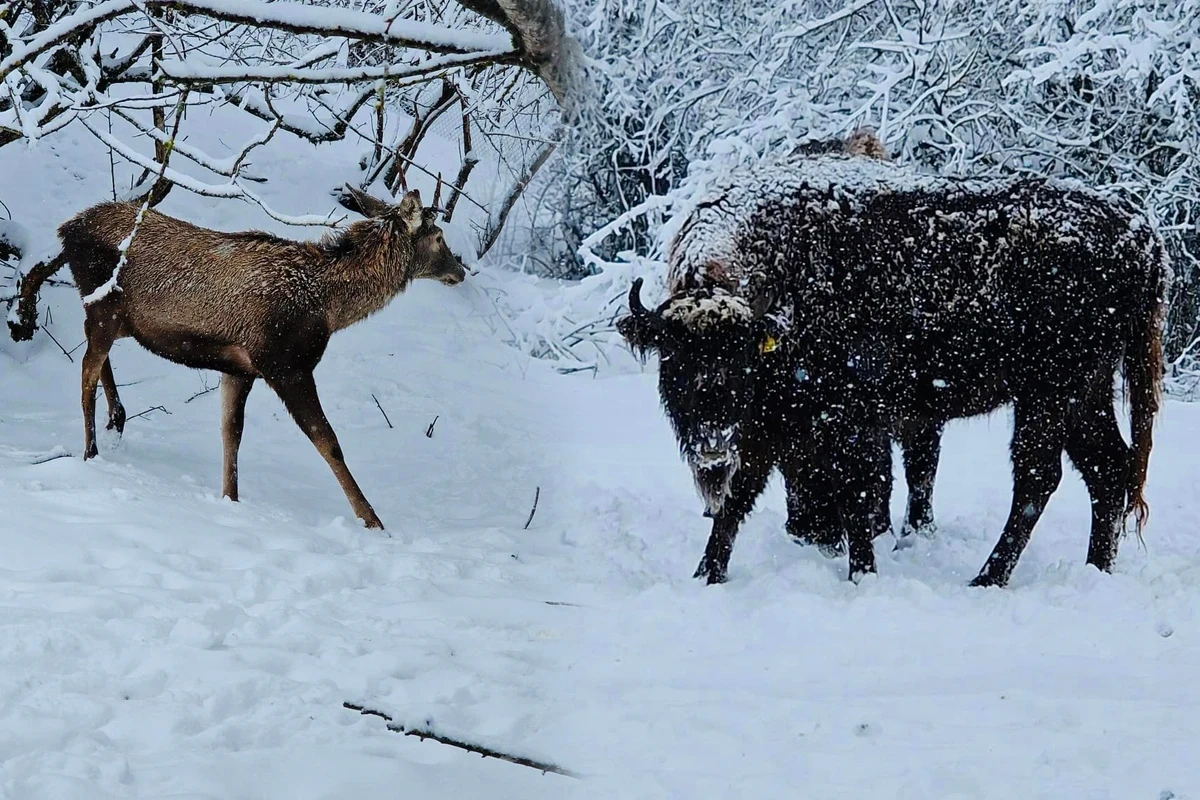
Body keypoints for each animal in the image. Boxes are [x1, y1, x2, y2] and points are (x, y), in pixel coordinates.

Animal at [7, 183, 465, 527]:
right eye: (439, 237)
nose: (460, 270)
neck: (330, 310)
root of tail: (66, 229)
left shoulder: (240, 367)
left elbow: (231, 433)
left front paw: (230, 499)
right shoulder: (286, 363)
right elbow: (328, 440)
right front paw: (371, 519)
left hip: (111, 316)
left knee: (99, 365)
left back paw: (117, 419)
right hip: (102, 307)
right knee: (86, 373)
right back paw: (91, 450)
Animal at [624, 151, 1166, 587]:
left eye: (741, 358)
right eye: (672, 356)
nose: (711, 443)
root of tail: (1140, 233)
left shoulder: (841, 420)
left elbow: (857, 490)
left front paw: (861, 572)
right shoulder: (765, 425)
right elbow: (738, 498)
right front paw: (706, 574)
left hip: (1049, 394)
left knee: (1039, 477)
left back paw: (987, 579)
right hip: (1086, 394)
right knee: (1107, 469)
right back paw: (1096, 570)